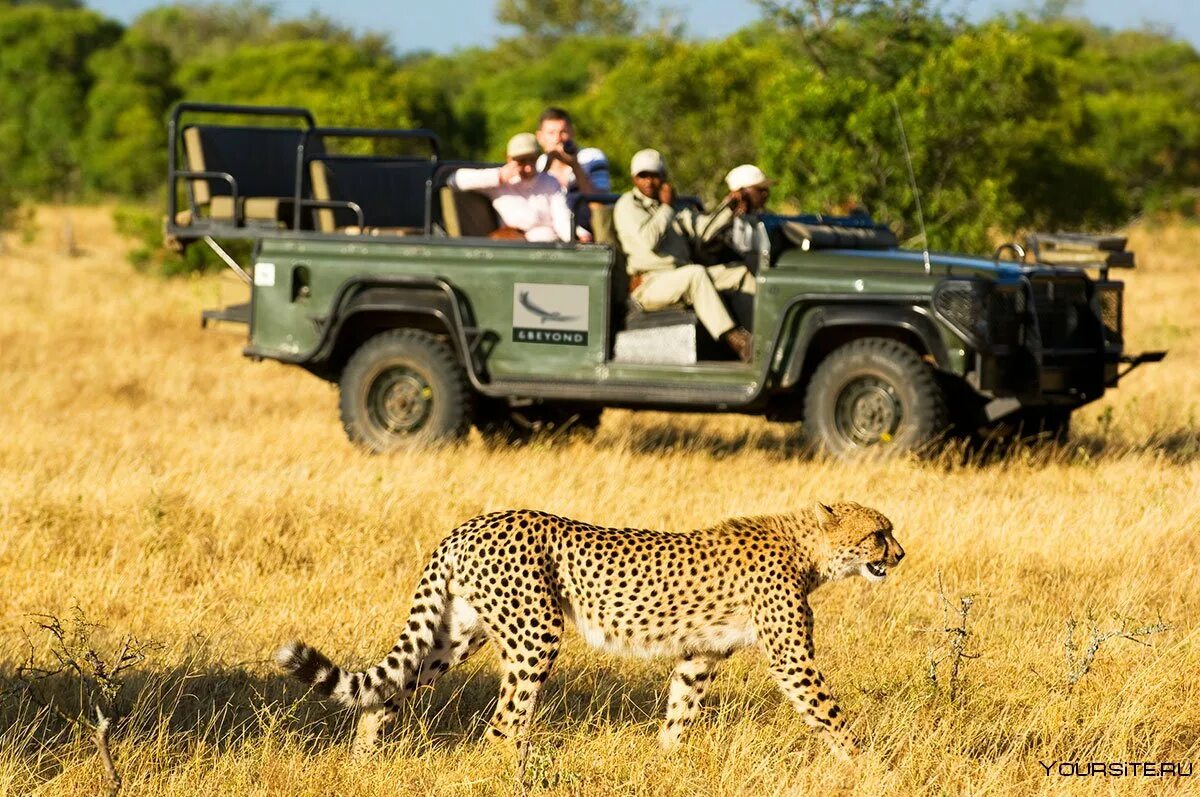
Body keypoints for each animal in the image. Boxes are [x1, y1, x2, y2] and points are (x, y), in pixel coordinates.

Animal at [276, 499, 902, 768]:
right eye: (879, 533)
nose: (899, 553)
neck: (808, 547)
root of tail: (471, 522)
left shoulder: (698, 654)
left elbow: (680, 709)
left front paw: (667, 761)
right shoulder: (793, 659)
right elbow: (830, 714)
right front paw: (871, 768)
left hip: (457, 634)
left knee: (388, 690)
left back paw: (364, 761)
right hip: (535, 631)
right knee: (503, 726)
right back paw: (520, 776)